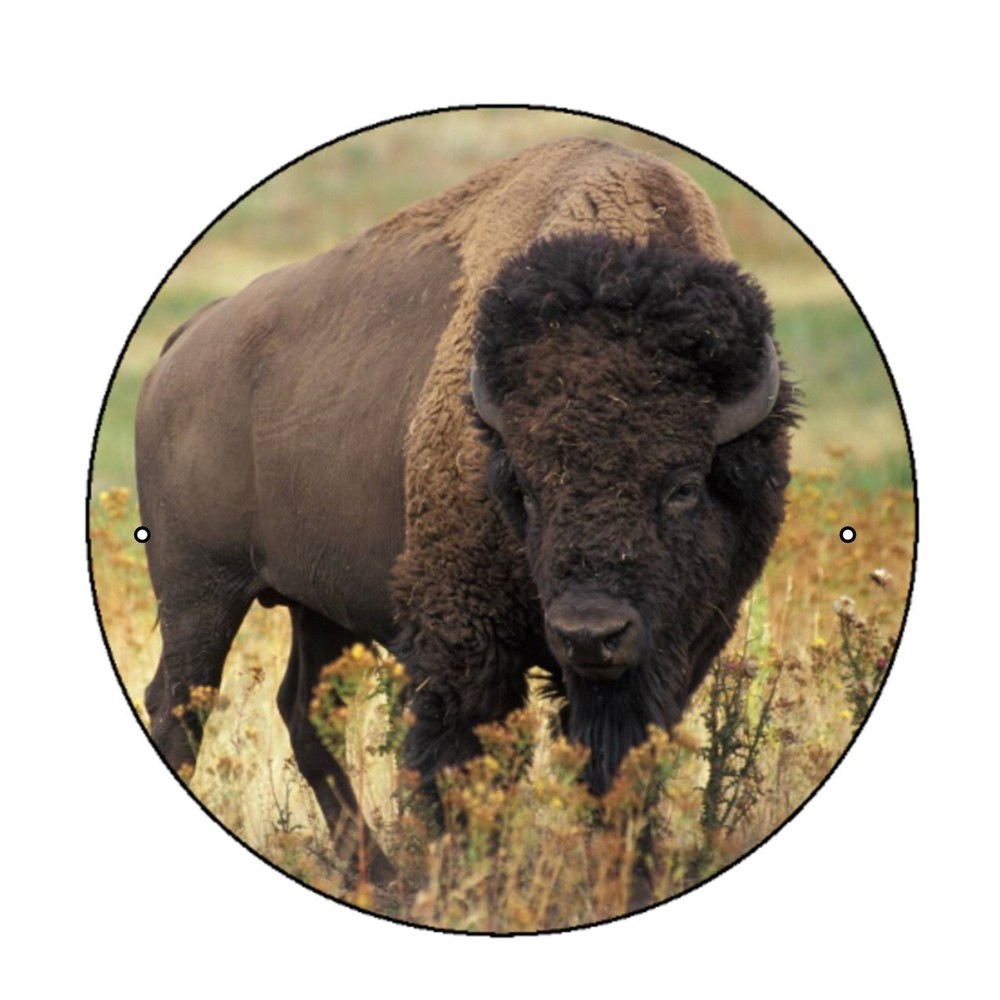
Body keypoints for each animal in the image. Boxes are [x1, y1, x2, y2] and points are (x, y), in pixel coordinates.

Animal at [136, 137, 797, 880]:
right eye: (527, 489)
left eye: (684, 485)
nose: (589, 634)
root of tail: (184, 342)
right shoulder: (465, 640)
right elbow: (464, 761)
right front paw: (471, 876)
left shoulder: (678, 647)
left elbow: (619, 765)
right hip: (199, 591)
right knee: (180, 705)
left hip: (316, 606)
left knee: (303, 712)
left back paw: (379, 873)